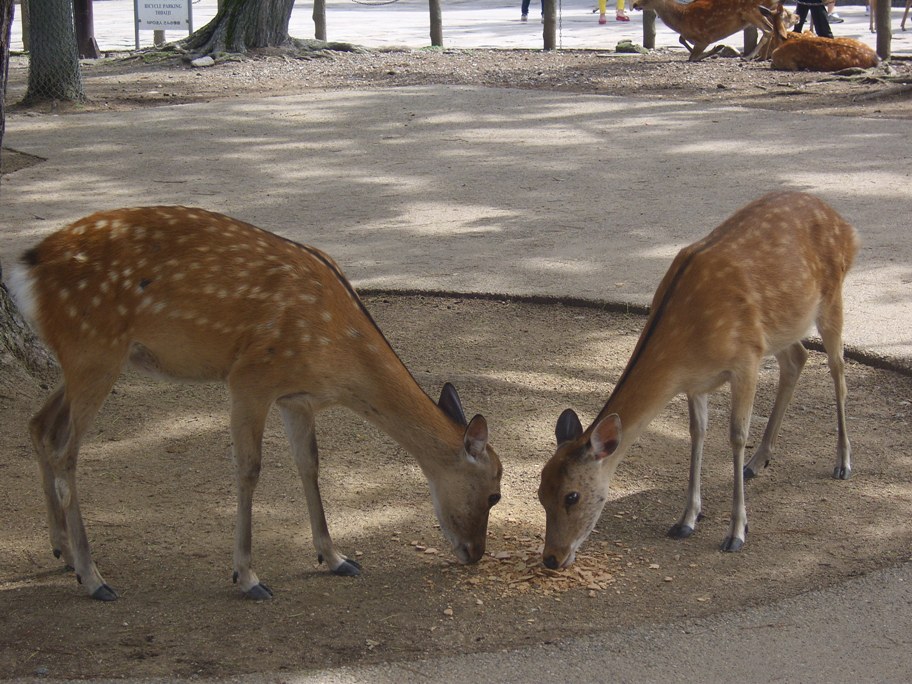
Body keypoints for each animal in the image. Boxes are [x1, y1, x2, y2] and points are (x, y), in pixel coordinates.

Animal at [6, 206, 503, 601]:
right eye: (495, 494)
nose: (475, 554)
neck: (338, 356)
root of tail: (24, 270)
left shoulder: (297, 398)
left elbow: (309, 465)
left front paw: (336, 557)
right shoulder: (250, 378)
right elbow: (249, 470)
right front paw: (247, 577)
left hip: (91, 359)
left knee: (38, 424)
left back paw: (63, 552)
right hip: (94, 349)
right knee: (65, 449)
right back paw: (94, 578)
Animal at [538, 191, 858, 570]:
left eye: (572, 496)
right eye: (540, 492)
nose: (551, 558)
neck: (687, 343)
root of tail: (843, 223)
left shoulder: (746, 359)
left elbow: (735, 436)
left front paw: (736, 532)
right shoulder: (696, 382)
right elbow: (697, 434)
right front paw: (686, 520)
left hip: (832, 297)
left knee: (838, 369)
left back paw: (842, 462)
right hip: (783, 327)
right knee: (797, 358)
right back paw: (757, 462)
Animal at [631, 0, 775, 61]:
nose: (634, 4)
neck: (682, 18)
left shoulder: (704, 38)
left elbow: (692, 57)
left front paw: (717, 48)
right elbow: (681, 39)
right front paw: (716, 50)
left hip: (751, 12)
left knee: (768, 30)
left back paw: (749, 56)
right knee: (770, 28)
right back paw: (762, 57)